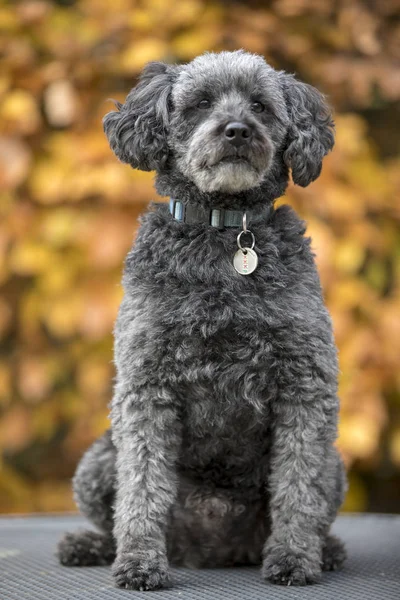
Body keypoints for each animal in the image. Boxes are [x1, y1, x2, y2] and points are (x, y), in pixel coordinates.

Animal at [57, 48, 346, 592]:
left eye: (260, 105)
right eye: (202, 103)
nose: (236, 130)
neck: (222, 232)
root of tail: (212, 550)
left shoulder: (305, 386)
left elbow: (300, 487)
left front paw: (295, 558)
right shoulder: (147, 387)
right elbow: (141, 486)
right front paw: (140, 562)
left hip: (335, 463)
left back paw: (327, 549)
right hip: (98, 459)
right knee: (111, 513)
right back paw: (92, 546)